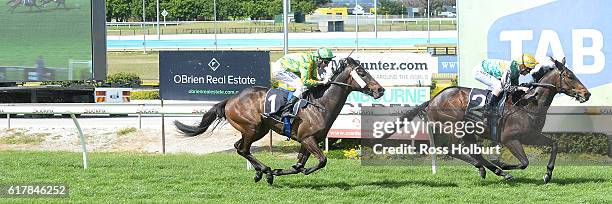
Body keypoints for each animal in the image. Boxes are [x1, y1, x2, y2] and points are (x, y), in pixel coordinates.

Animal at [175, 57, 384, 185]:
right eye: (362, 73)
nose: (380, 90)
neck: (320, 104)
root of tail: (231, 99)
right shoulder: (307, 139)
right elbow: (322, 160)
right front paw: (280, 172)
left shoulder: (308, 140)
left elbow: (298, 166)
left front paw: (282, 171)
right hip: (252, 127)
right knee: (243, 149)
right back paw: (265, 170)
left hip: (257, 130)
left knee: (238, 147)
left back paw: (261, 172)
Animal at [392, 56, 588, 182]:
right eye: (569, 76)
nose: (587, 94)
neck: (528, 105)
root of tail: (433, 99)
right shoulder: (510, 139)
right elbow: (524, 162)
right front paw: (502, 163)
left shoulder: (531, 136)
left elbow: (554, 144)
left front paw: (548, 173)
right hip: (455, 127)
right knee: (452, 149)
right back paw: (494, 169)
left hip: (469, 131)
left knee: (473, 152)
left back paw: (490, 169)